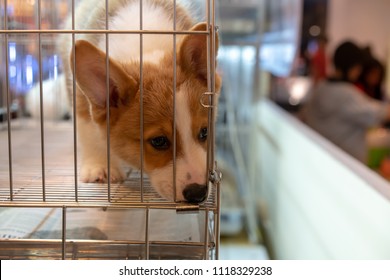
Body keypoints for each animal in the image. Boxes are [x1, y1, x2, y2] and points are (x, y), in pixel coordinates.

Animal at [58, 0, 222, 202]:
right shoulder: (81, 102)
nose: (198, 193)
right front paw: (100, 168)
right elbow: (91, 135)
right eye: (159, 141)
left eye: (204, 132)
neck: (145, 44)